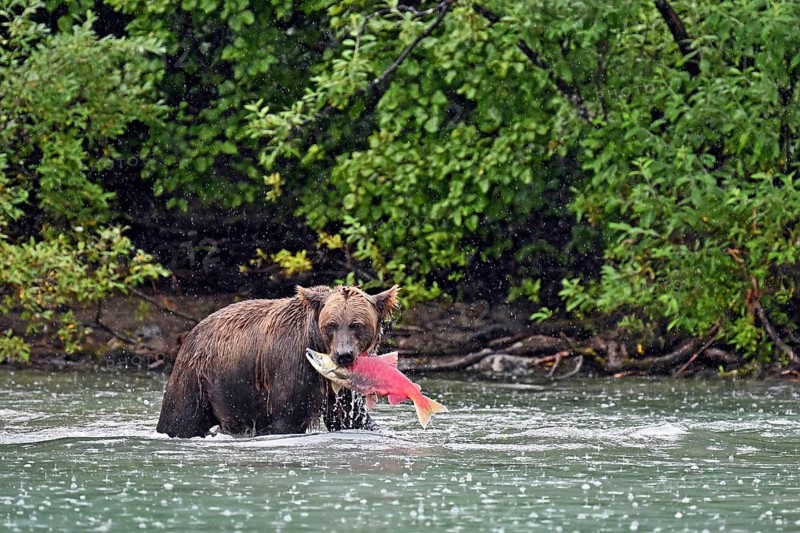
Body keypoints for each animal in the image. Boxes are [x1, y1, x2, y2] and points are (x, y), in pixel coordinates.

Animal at [155, 285, 399, 438]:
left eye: (356, 325)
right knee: (180, 419)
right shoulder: (291, 366)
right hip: (198, 378)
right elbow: (288, 417)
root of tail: (192, 331)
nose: (344, 354)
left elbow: (349, 417)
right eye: (331, 325)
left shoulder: (341, 384)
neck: (316, 343)